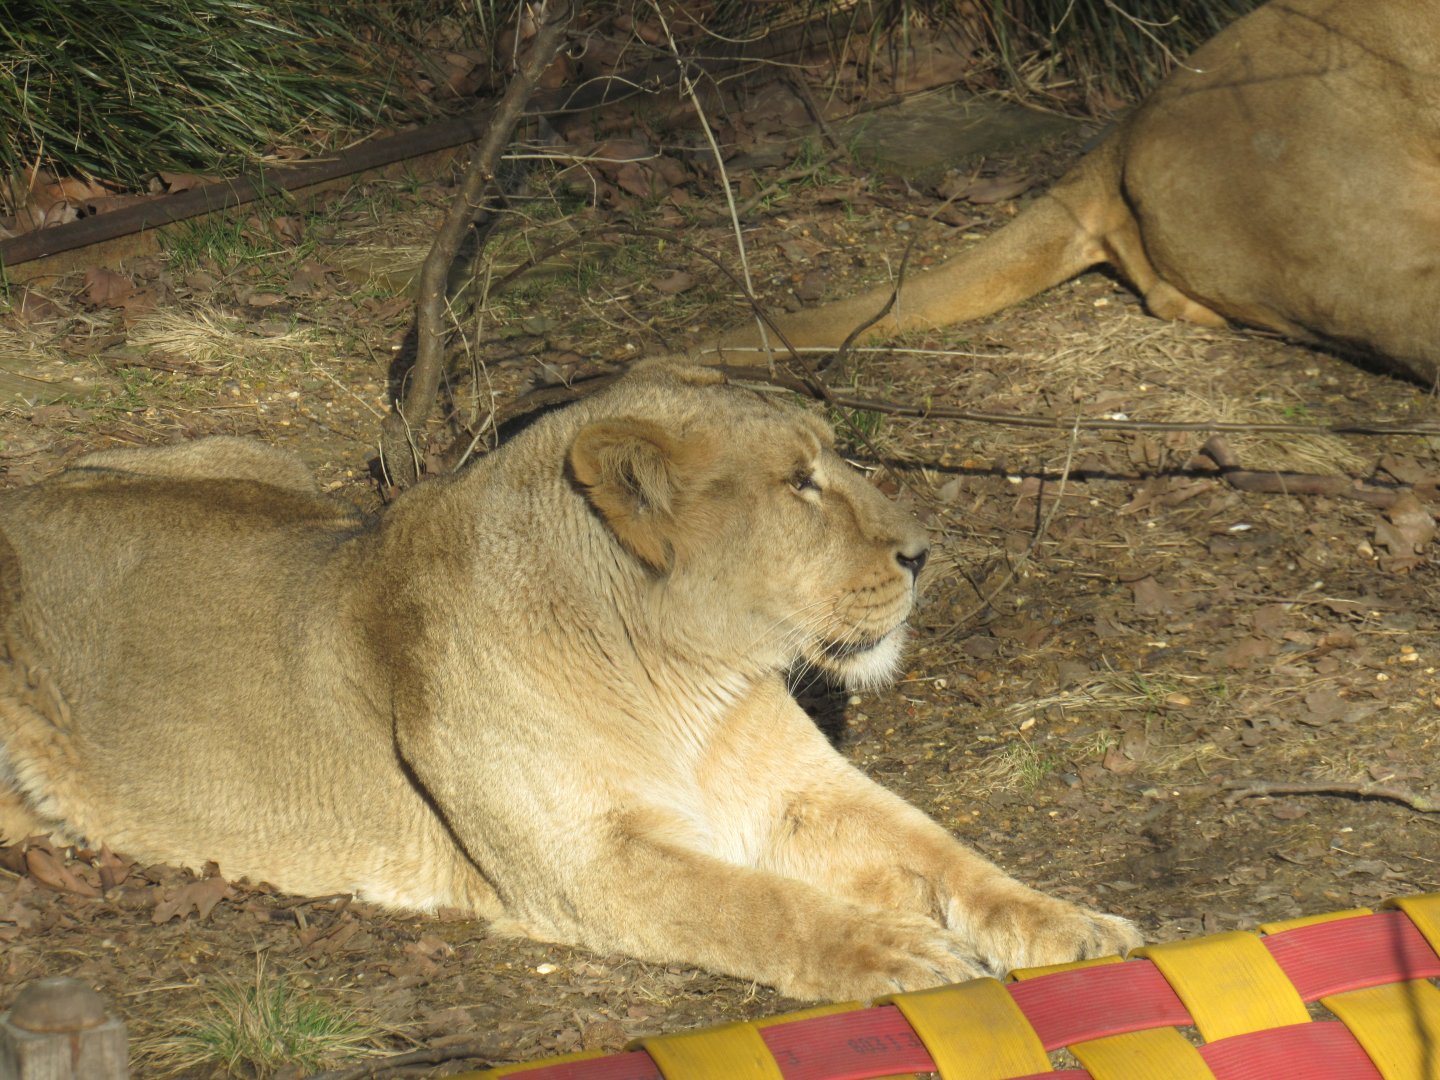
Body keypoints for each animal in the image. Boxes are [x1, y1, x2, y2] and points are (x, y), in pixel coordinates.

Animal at [0, 360, 1138, 1001]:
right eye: (798, 484)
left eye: (833, 463)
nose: (923, 553)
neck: (689, 680)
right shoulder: (588, 863)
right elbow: (760, 907)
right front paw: (901, 953)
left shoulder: (800, 793)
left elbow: (952, 856)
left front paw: (1073, 925)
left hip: (261, 461)